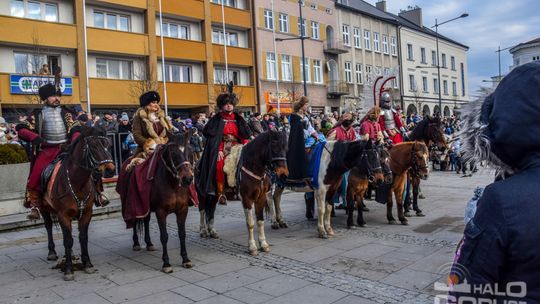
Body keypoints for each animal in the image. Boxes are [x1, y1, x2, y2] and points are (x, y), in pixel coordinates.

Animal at [40, 126, 115, 280]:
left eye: (108, 145)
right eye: (93, 146)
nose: (110, 170)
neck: (77, 183)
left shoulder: (87, 213)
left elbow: (83, 238)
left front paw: (87, 263)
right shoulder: (63, 215)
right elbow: (68, 240)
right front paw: (68, 269)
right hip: (44, 207)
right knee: (49, 226)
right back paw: (52, 252)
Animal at [130, 132, 195, 274]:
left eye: (190, 150)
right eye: (173, 153)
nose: (187, 178)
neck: (173, 185)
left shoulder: (183, 209)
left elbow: (182, 234)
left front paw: (186, 259)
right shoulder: (161, 212)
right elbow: (164, 236)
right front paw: (166, 263)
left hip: (146, 207)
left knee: (146, 221)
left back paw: (149, 244)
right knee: (134, 221)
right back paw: (136, 243)